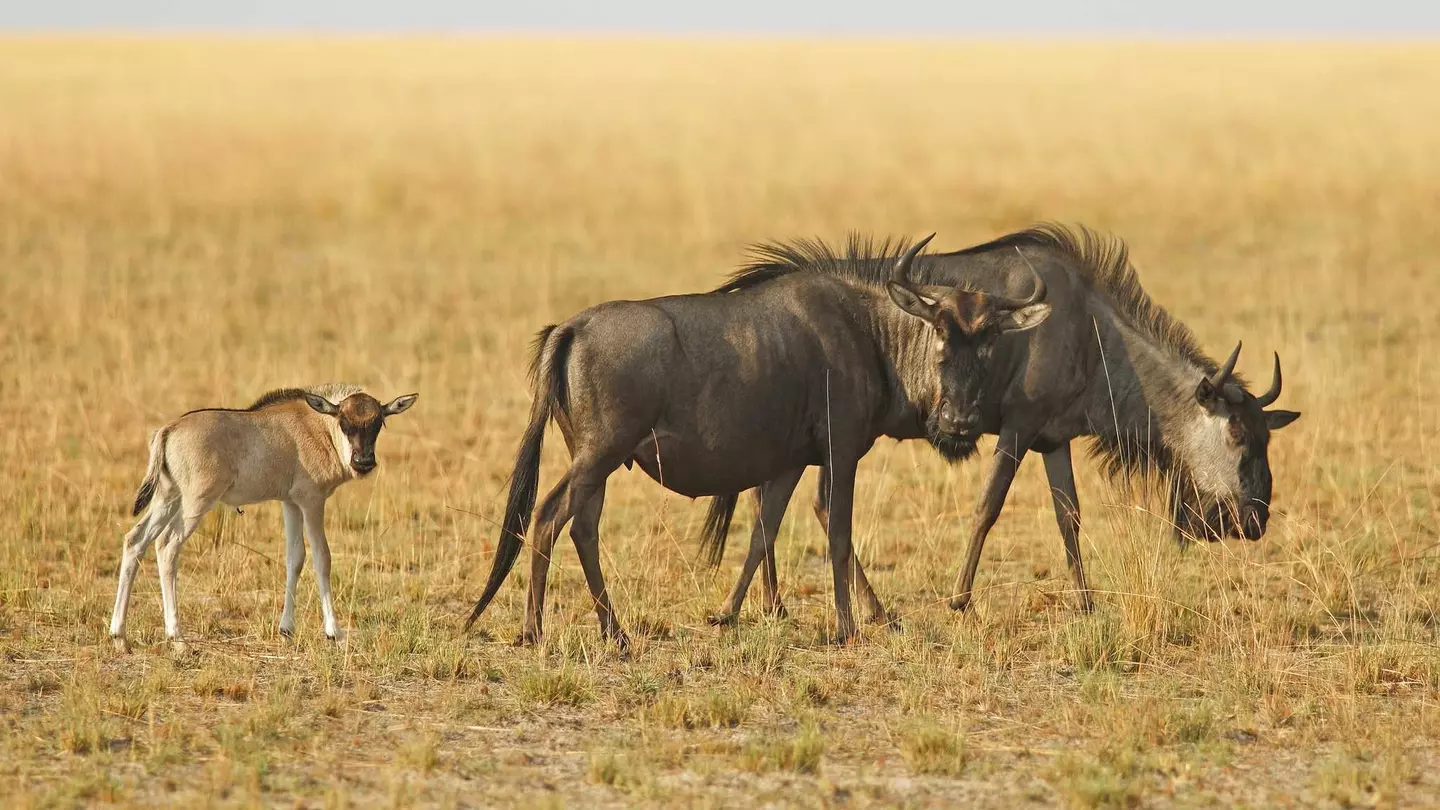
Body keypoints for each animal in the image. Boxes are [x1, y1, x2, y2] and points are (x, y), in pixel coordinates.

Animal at [108, 384, 418, 652]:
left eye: (378, 423)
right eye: (344, 422)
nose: (363, 462)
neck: (319, 427)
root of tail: (168, 429)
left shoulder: (290, 503)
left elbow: (295, 558)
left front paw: (286, 630)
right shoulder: (311, 501)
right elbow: (322, 558)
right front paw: (335, 633)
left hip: (168, 498)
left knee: (135, 540)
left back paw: (120, 636)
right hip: (195, 502)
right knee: (167, 546)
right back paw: (177, 638)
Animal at [463, 235, 1052, 647]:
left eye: (991, 341)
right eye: (939, 334)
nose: (958, 422)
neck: (868, 333)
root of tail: (572, 328)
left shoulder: (790, 463)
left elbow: (762, 531)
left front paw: (727, 612)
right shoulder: (840, 450)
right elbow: (837, 528)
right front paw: (850, 625)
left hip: (598, 461)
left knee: (582, 526)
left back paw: (616, 631)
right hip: (598, 455)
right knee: (547, 516)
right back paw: (535, 631)